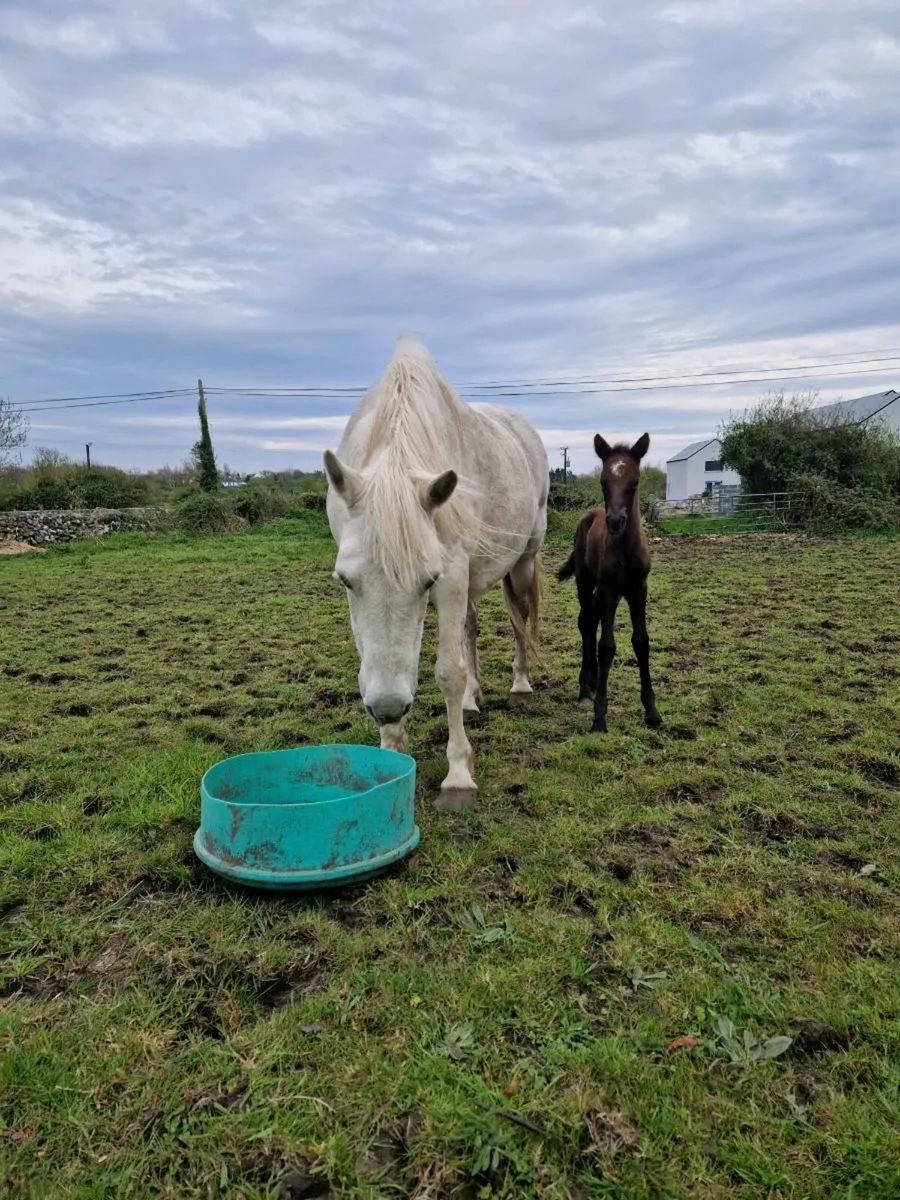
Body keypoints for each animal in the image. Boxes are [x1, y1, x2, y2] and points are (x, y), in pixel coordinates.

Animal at [324, 337, 549, 803]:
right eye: (345, 581)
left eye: (426, 581)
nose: (388, 708)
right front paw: (391, 754)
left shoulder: (449, 577)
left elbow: (449, 672)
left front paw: (459, 774)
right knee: (470, 627)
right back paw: (472, 700)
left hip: (522, 560)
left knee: (519, 619)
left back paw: (520, 683)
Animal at [557, 432, 662, 734]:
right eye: (603, 481)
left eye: (635, 481)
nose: (615, 521)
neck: (626, 549)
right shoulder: (609, 589)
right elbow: (607, 646)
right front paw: (600, 718)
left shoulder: (638, 589)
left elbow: (641, 641)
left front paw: (652, 711)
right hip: (586, 581)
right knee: (585, 621)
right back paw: (585, 688)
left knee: (591, 619)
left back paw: (591, 682)